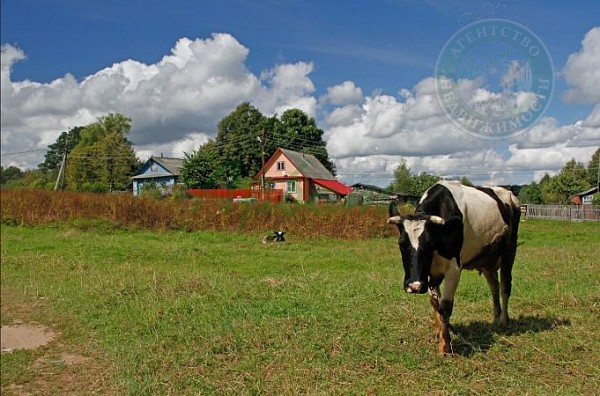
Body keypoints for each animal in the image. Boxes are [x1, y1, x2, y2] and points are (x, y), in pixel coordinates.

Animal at [390, 181, 520, 354]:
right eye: (402, 244)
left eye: (429, 244)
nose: (414, 286)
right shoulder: (428, 273)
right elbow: (435, 303)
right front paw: (438, 332)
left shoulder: (453, 269)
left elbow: (445, 305)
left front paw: (445, 345)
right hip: (487, 261)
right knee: (494, 287)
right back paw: (495, 317)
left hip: (509, 252)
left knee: (505, 285)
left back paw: (504, 320)